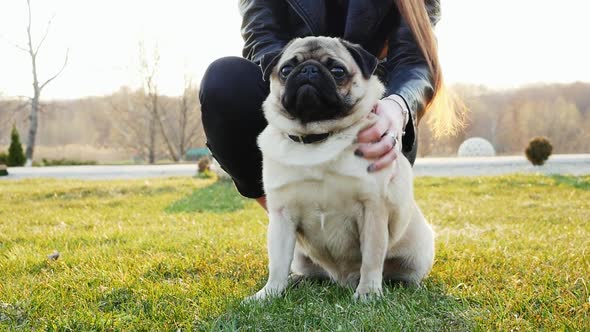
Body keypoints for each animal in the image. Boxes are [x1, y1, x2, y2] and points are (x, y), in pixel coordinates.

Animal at [250, 36, 434, 300]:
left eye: (337, 71)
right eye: (285, 70)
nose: (309, 69)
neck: (318, 137)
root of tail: (341, 279)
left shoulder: (373, 210)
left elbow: (371, 259)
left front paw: (368, 293)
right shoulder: (282, 216)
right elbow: (277, 264)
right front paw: (268, 294)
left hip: (417, 253)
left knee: (400, 273)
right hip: (302, 256)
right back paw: (297, 279)